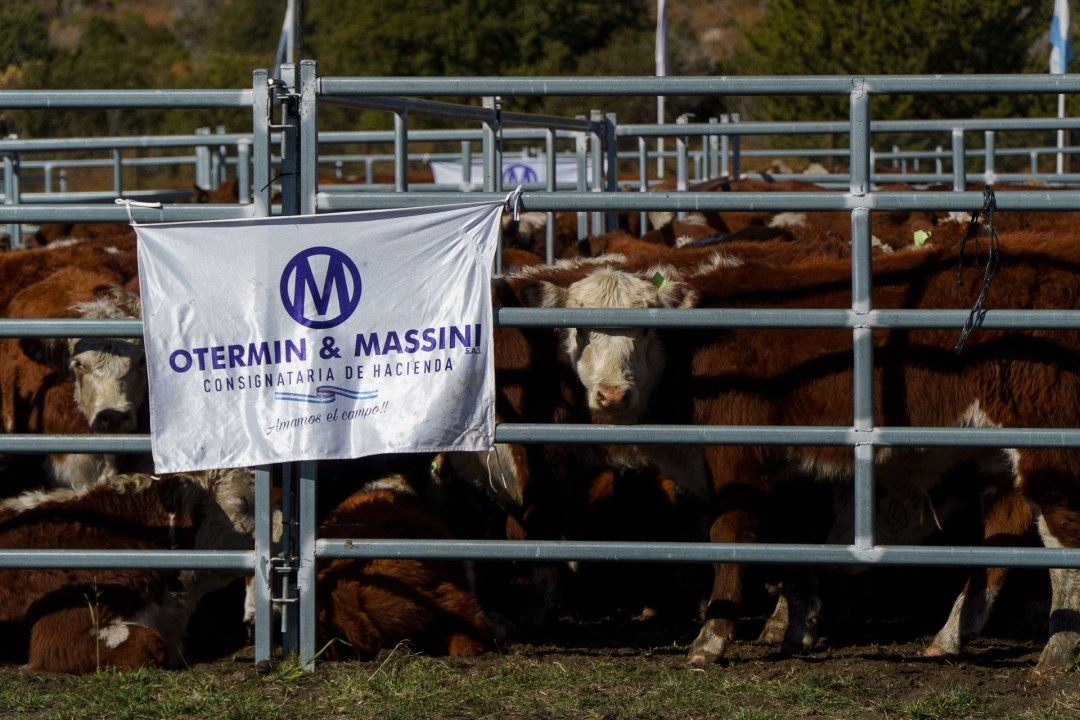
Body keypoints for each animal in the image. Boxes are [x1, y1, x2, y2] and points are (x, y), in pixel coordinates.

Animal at [522, 231, 1080, 669]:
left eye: (643, 327)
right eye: (579, 329)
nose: (612, 395)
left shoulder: (737, 461)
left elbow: (729, 536)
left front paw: (711, 639)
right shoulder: (786, 470)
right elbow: (791, 541)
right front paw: (798, 629)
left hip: (1047, 448)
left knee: (1061, 538)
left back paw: (1057, 652)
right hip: (996, 453)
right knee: (1004, 531)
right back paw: (951, 636)